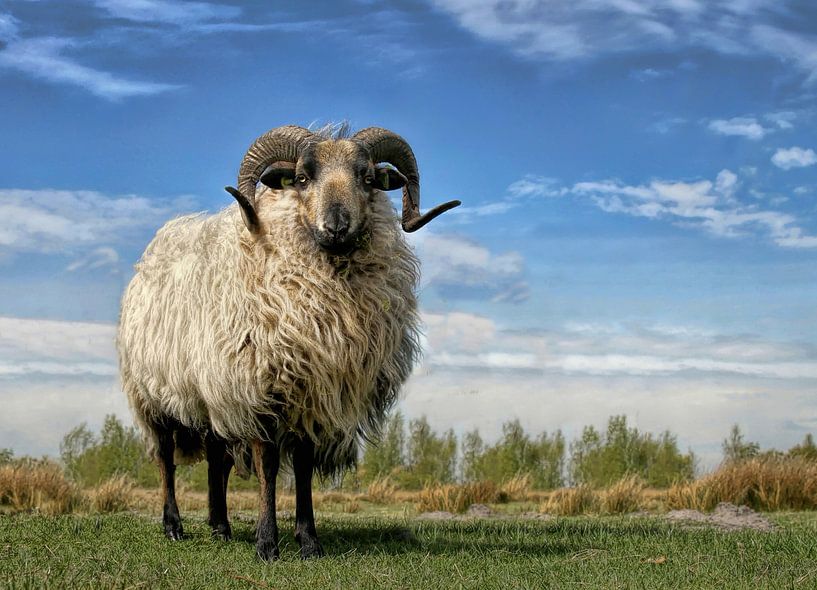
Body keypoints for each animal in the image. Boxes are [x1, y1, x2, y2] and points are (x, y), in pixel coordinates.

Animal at [117, 125, 460, 560]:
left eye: (368, 178)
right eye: (300, 178)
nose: (337, 226)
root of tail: (148, 258)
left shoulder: (311, 397)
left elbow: (302, 467)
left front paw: (309, 541)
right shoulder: (260, 389)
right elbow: (266, 465)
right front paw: (267, 543)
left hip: (212, 394)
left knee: (216, 459)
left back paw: (220, 526)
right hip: (153, 395)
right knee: (165, 459)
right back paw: (173, 525)